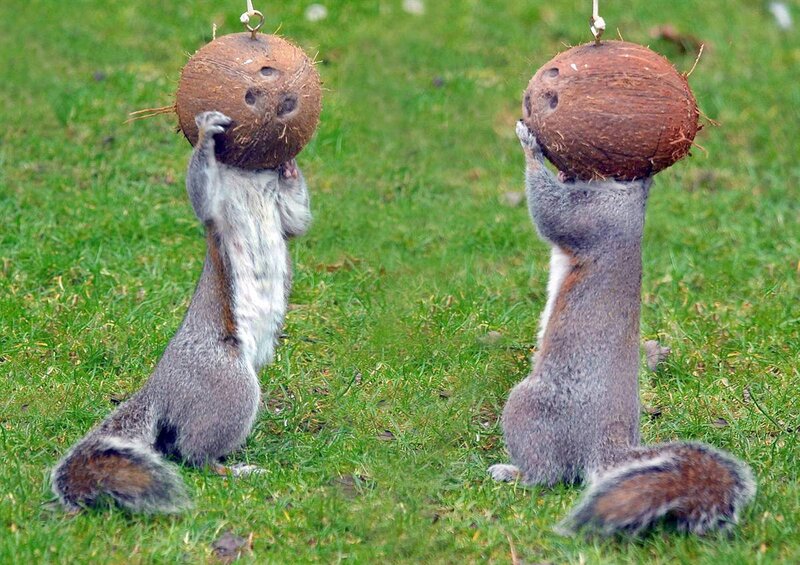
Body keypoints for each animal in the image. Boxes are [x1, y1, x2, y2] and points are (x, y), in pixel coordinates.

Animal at [51, 111, 312, 513]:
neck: (248, 180)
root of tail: (161, 387)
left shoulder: (281, 211)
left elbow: (296, 218)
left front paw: (290, 167)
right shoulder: (216, 208)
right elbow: (201, 194)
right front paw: (206, 133)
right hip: (228, 384)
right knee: (194, 455)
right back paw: (237, 470)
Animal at [488, 121, 756, 536]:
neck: (632, 193)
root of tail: (606, 444)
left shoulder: (594, 216)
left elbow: (550, 212)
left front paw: (529, 145)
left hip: (529, 407)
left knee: (548, 475)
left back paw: (512, 473)